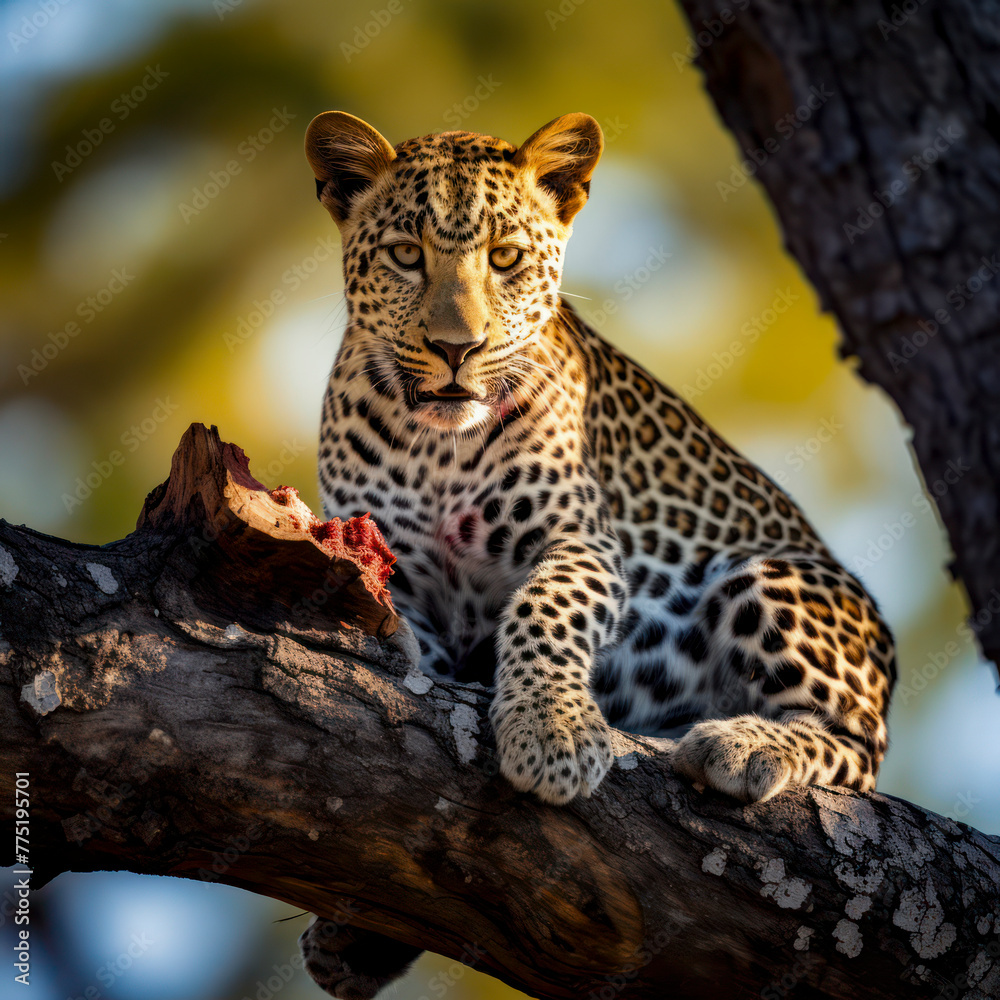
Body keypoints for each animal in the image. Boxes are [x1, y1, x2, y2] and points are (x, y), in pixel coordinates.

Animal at [298, 110, 896, 998]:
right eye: (407, 253)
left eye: (505, 258)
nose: (456, 347)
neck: (437, 445)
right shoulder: (392, 578)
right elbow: (416, 663)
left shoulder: (581, 541)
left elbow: (545, 613)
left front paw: (553, 733)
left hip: (774, 579)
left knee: (857, 752)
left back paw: (741, 742)